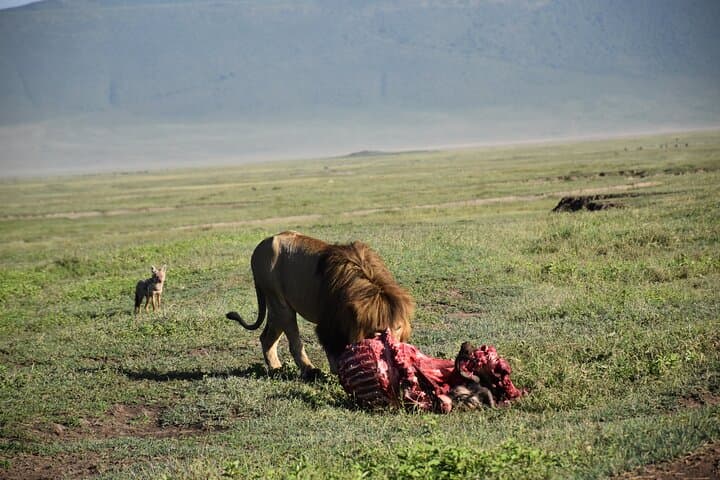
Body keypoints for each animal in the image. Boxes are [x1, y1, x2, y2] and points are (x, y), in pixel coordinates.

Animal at [226, 231, 414, 380]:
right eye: (376, 330)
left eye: (397, 327)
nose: (388, 349)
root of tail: (261, 245)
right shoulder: (329, 323)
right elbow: (334, 352)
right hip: (279, 301)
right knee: (294, 343)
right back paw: (309, 371)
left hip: (276, 307)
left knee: (266, 338)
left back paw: (276, 369)